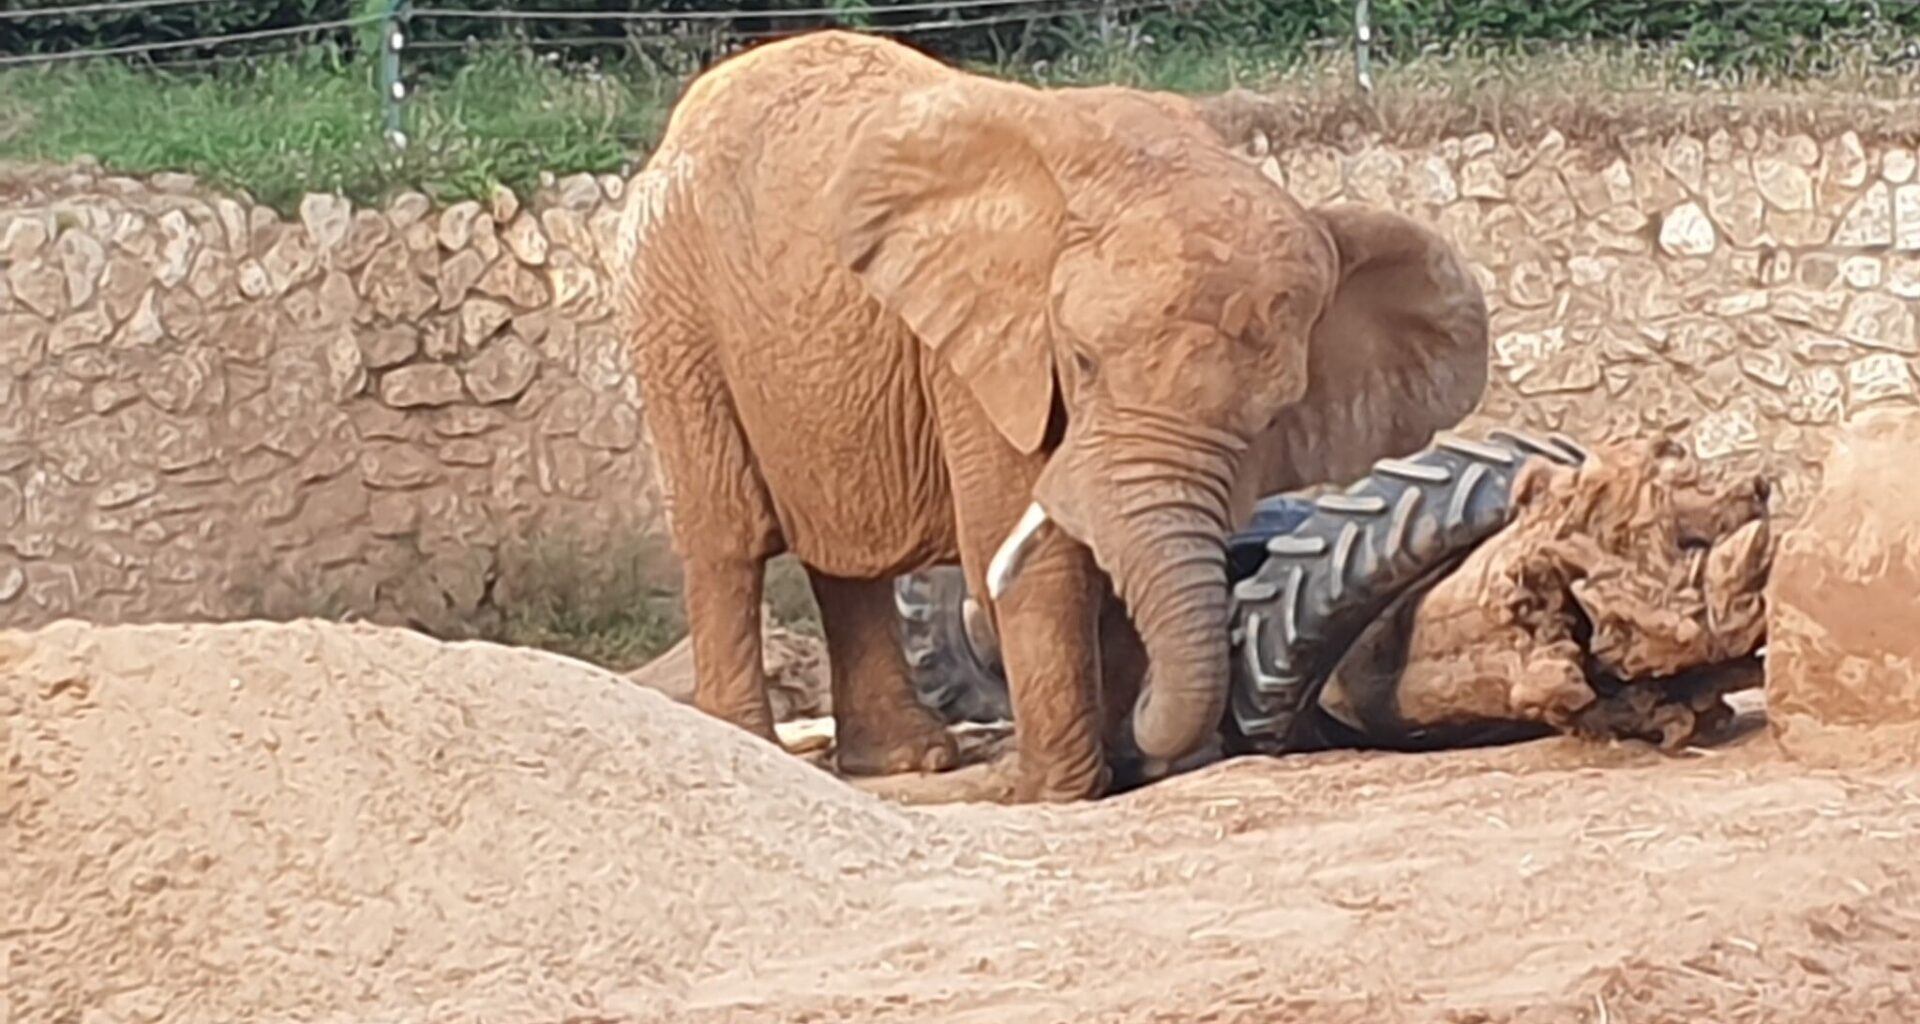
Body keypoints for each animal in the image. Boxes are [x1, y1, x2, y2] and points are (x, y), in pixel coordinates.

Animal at [611, 29, 1490, 802]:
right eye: (1082, 363)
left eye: (1271, 418)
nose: (1155, 735)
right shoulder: (990, 345)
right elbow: (1039, 560)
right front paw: (1060, 790)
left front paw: (1135, 771)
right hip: (672, 300)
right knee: (729, 536)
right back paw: (752, 745)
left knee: (844, 543)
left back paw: (911, 760)